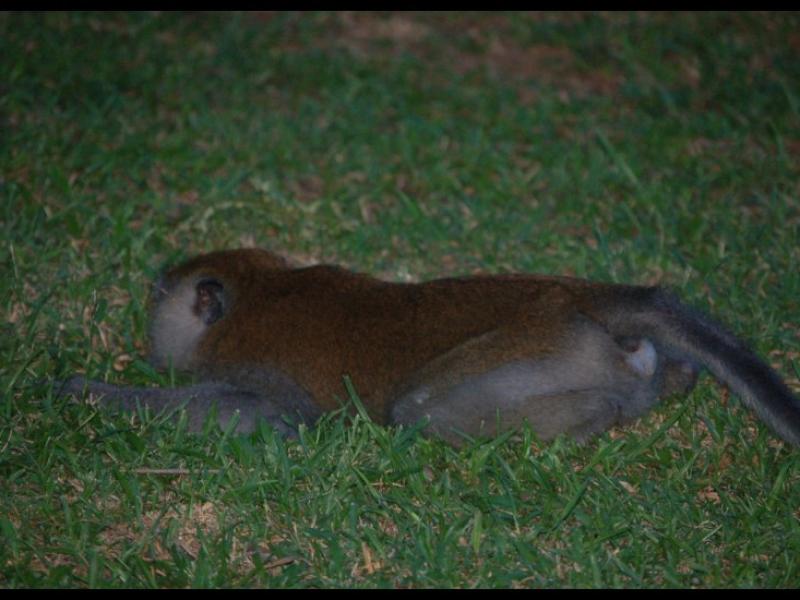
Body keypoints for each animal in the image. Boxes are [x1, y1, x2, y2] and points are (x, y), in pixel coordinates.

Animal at [56, 247, 800, 447]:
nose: (148, 308)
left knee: (420, 412)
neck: (263, 289)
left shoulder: (257, 369)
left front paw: (87, 392)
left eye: (161, 299)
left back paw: (604, 414)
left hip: (542, 351)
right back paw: (669, 379)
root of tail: (571, 294)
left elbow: (261, 416)